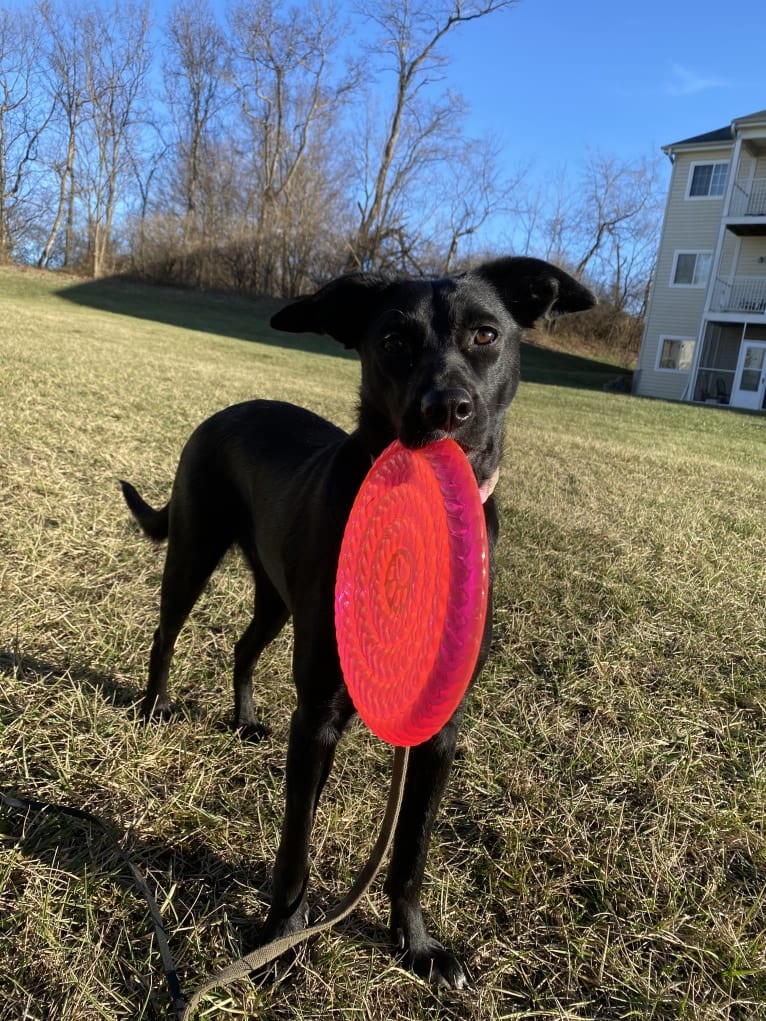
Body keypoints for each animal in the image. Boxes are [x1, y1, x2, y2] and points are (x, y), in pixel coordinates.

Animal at [123, 257, 596, 988]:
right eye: (394, 341)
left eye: (485, 334)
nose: (447, 408)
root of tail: (230, 410)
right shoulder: (319, 712)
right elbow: (295, 847)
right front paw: (281, 938)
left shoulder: (439, 728)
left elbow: (410, 853)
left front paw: (417, 944)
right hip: (194, 551)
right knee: (165, 632)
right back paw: (155, 704)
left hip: (277, 597)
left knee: (243, 646)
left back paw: (245, 719)